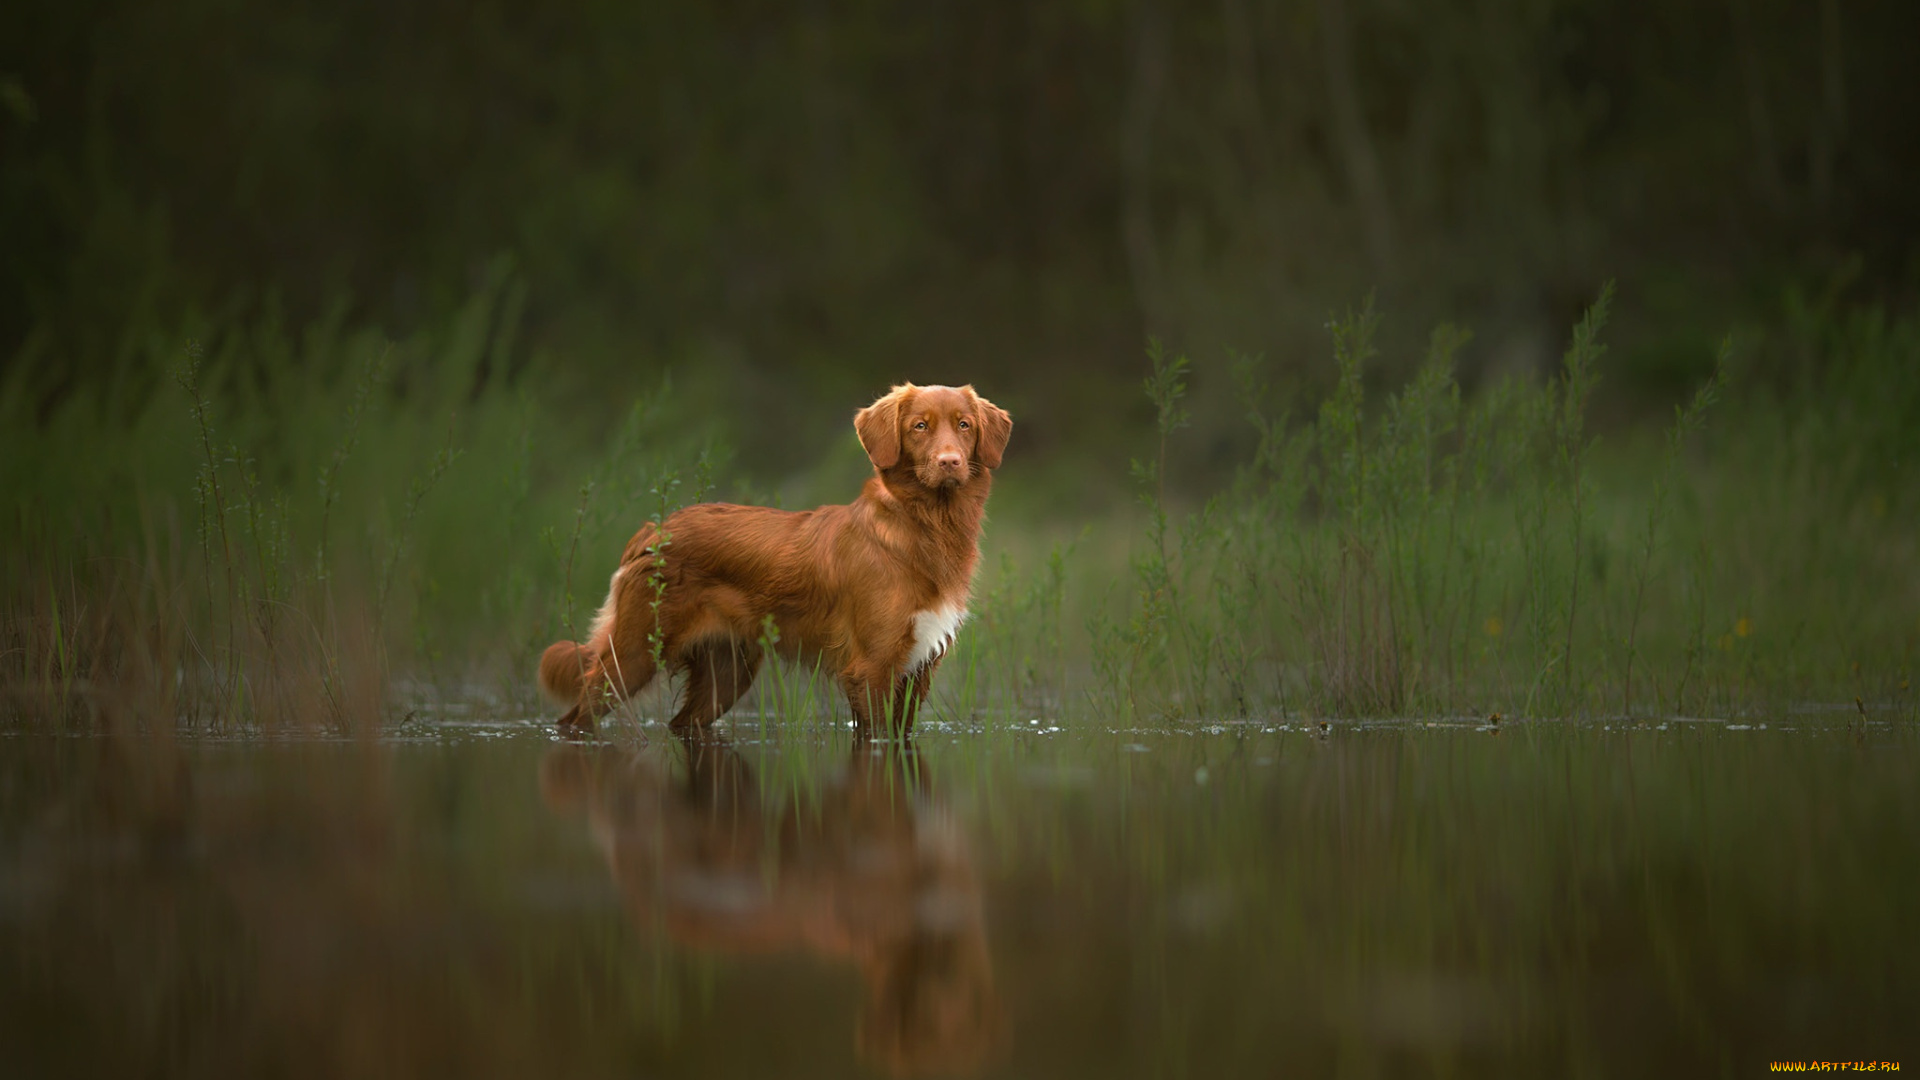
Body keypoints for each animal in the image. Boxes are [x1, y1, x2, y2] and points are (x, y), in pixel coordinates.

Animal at [541, 380, 1013, 730]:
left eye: (964, 425)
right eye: (919, 426)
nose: (950, 462)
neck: (924, 528)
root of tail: (652, 530)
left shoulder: (918, 670)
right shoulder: (871, 668)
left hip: (726, 672)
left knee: (682, 724)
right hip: (634, 656)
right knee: (575, 718)